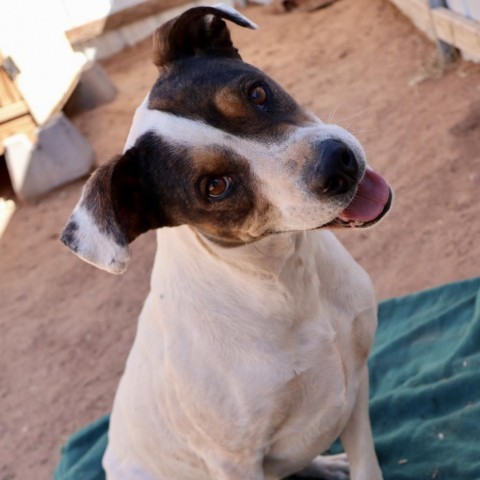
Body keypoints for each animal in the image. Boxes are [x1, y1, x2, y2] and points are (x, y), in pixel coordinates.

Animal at [61, 4, 390, 480]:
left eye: (257, 93)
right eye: (215, 186)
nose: (338, 164)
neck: (284, 279)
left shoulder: (357, 385)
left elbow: (367, 465)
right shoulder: (235, 461)